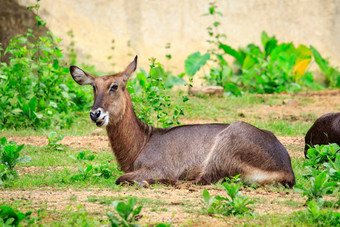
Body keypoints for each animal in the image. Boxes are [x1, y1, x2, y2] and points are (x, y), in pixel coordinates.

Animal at [70, 55, 296, 187]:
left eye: (114, 86)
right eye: (94, 86)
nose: (95, 114)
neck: (143, 141)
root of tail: (287, 170)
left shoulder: (159, 168)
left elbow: (120, 178)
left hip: (227, 142)